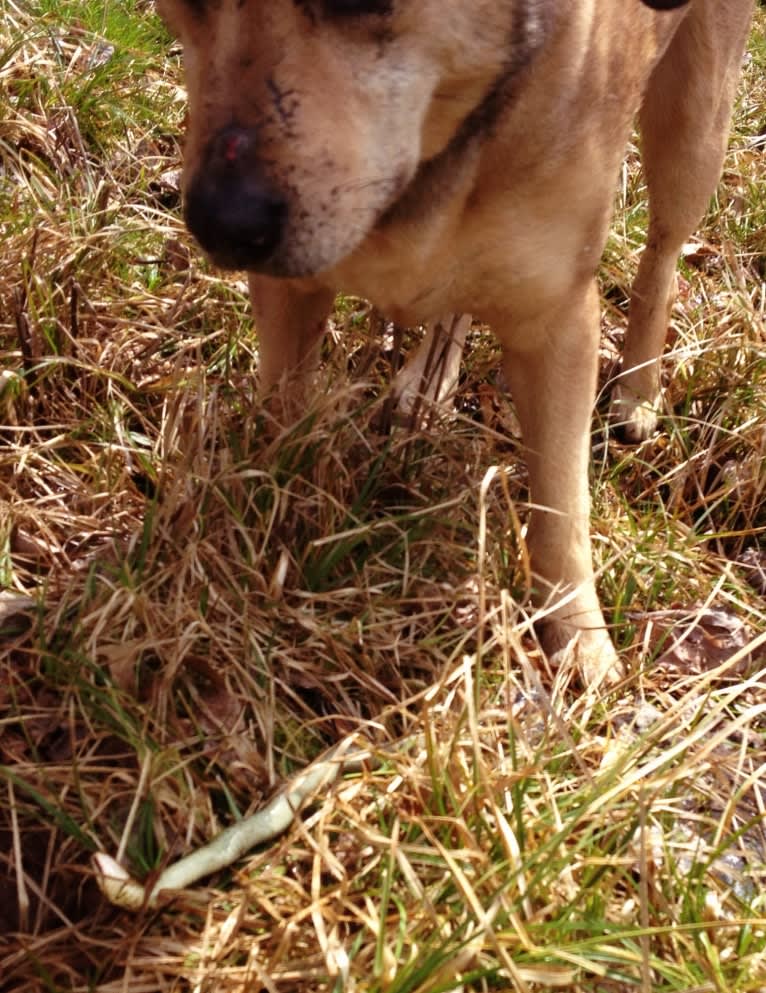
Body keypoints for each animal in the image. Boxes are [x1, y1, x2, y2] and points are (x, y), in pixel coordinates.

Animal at [156, 0, 756, 684]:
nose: (220, 224)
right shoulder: (291, 292)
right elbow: (282, 417)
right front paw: (265, 525)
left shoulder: (558, 320)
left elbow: (561, 502)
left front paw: (581, 642)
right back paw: (427, 384)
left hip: (696, 116)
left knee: (663, 253)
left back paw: (637, 388)